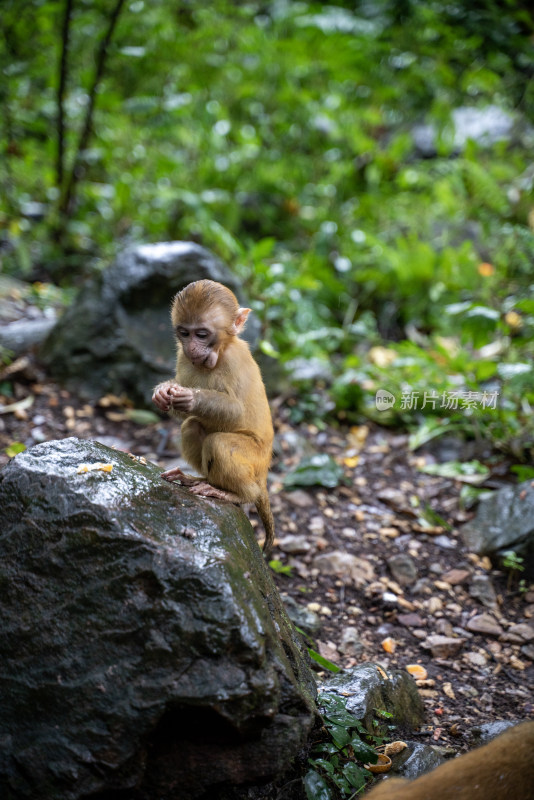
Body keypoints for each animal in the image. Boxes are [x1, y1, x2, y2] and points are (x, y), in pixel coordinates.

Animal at [151, 280, 276, 556]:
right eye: (184, 333)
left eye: (202, 334)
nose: (191, 348)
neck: (217, 354)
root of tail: (264, 473)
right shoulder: (182, 357)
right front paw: (164, 392)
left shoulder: (233, 361)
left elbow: (236, 410)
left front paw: (192, 398)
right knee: (191, 427)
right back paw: (199, 480)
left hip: (255, 458)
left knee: (219, 443)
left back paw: (237, 495)